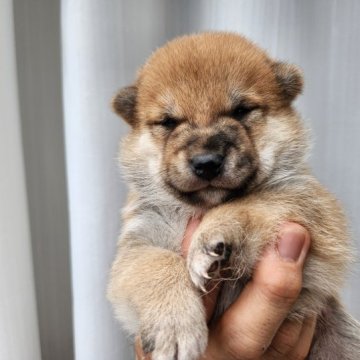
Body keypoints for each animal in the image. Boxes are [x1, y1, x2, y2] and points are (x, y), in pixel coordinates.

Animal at [107, 32, 360, 358]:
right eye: (169, 122)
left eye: (240, 110)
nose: (206, 162)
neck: (196, 209)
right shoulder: (137, 244)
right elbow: (157, 264)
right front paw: (175, 327)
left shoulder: (314, 209)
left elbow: (252, 202)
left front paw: (212, 234)